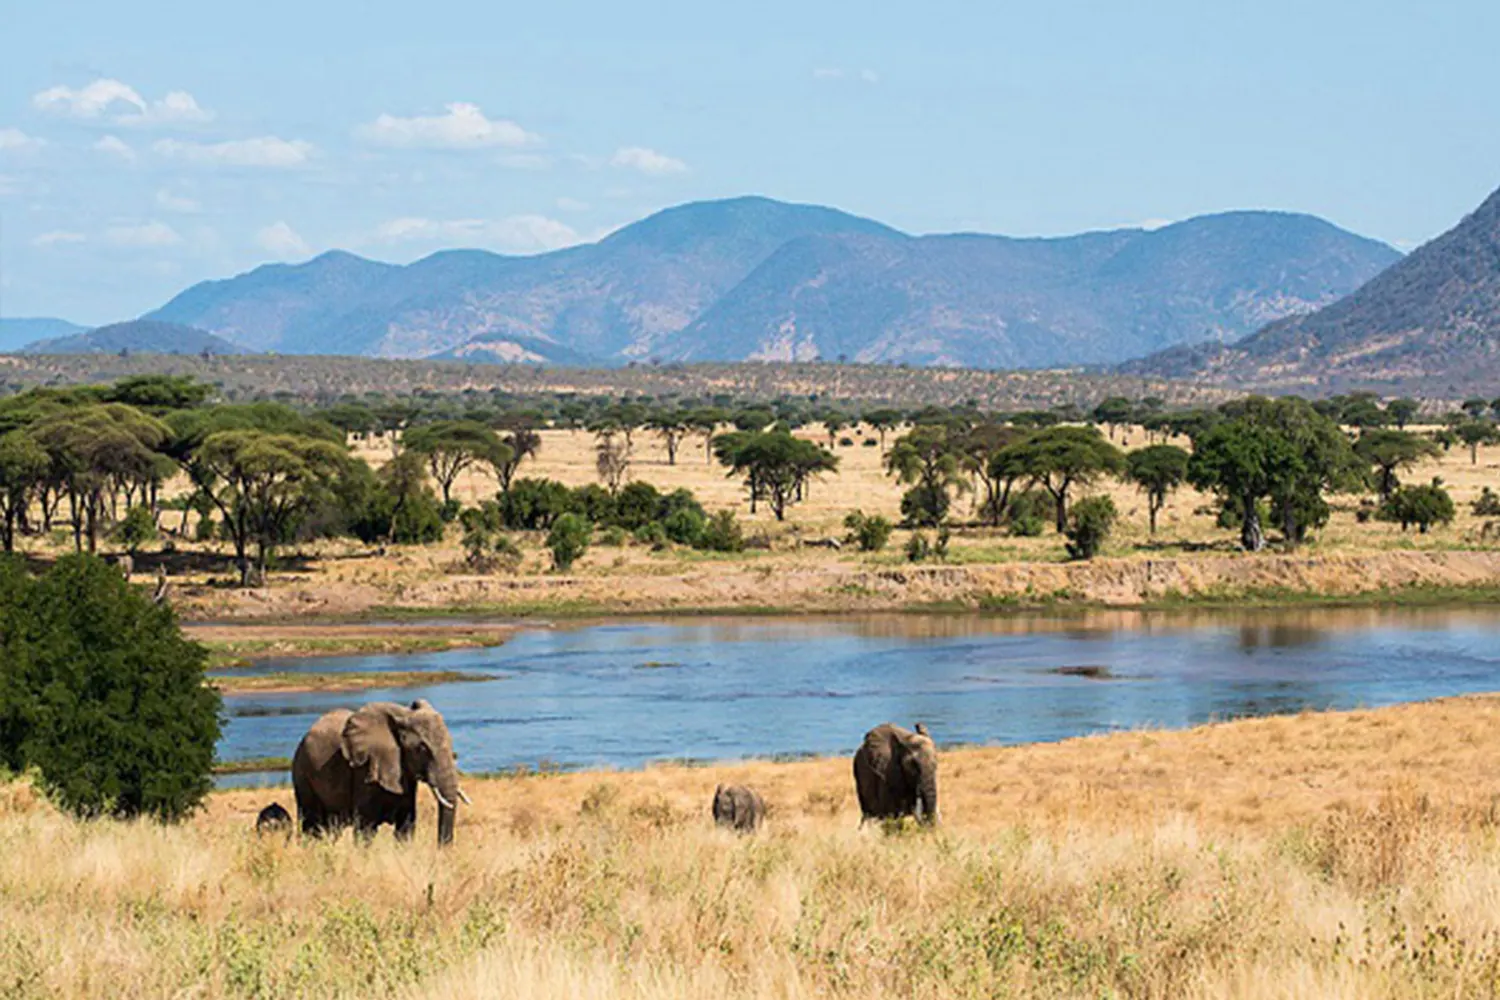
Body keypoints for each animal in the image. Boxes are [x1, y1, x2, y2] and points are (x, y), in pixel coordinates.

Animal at [291, 701, 468, 851]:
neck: (403, 715)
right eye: (422, 749)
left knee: (330, 829)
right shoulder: (365, 769)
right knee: (312, 825)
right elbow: (366, 829)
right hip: (302, 774)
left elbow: (406, 825)